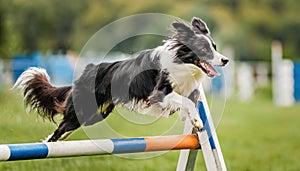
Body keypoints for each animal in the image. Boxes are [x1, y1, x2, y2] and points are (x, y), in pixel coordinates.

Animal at [12, 17, 229, 143]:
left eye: (215, 47)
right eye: (204, 49)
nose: (225, 60)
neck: (183, 63)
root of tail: (85, 72)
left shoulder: (187, 89)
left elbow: (192, 98)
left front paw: (191, 118)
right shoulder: (158, 93)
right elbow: (185, 101)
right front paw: (196, 120)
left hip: (97, 114)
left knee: (65, 128)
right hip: (83, 111)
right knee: (60, 128)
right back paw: (48, 145)